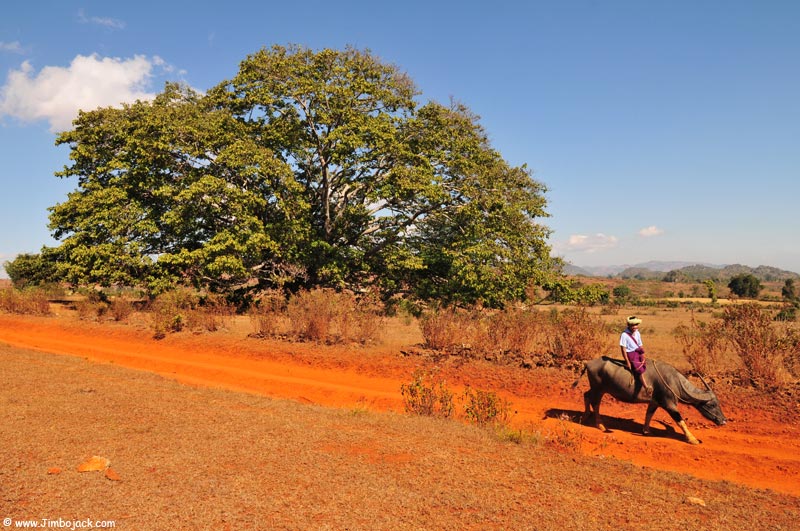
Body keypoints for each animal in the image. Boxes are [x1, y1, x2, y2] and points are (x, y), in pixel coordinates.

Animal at [572, 358, 728, 444]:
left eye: (718, 404)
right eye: (712, 404)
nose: (724, 420)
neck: (675, 382)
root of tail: (589, 363)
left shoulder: (654, 403)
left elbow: (649, 415)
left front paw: (646, 431)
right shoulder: (669, 405)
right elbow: (680, 421)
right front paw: (692, 439)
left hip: (596, 389)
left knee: (586, 395)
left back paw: (585, 416)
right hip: (599, 389)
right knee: (595, 403)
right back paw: (601, 425)